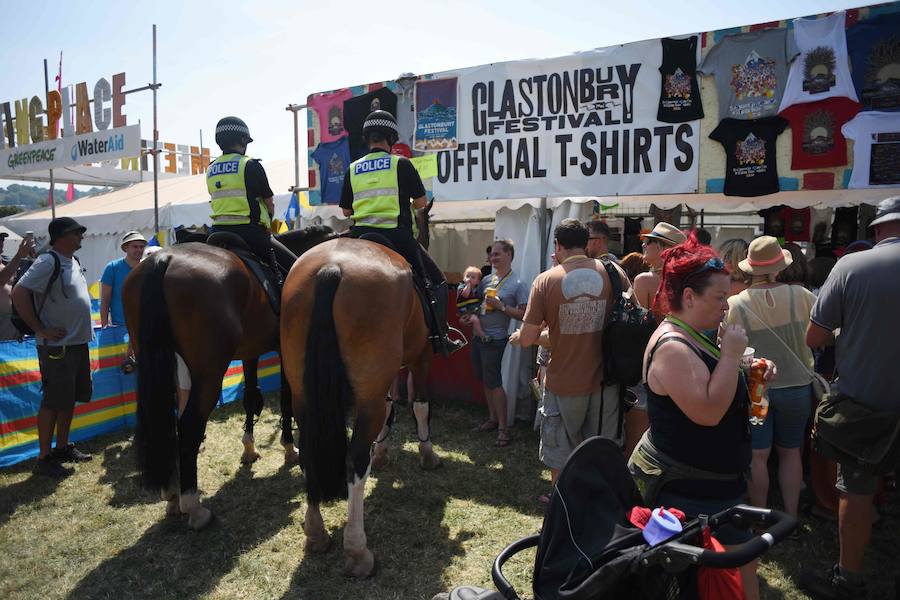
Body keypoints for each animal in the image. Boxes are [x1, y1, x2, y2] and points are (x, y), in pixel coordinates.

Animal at [125, 226, 336, 528]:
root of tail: (163, 261)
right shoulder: (286, 351)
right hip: (208, 374)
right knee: (189, 426)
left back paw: (172, 495)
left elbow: (250, 397)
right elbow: (286, 400)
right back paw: (194, 507)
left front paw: (249, 448)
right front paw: (289, 447)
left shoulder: (251, 351)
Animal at [278, 237, 440, 580]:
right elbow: (420, 406)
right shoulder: (421, 356)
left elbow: (392, 409)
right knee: (354, 461)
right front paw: (427, 453)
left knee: (309, 454)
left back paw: (317, 535)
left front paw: (383, 452)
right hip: (368, 395)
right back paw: (357, 552)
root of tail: (332, 267)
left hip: (303, 395)